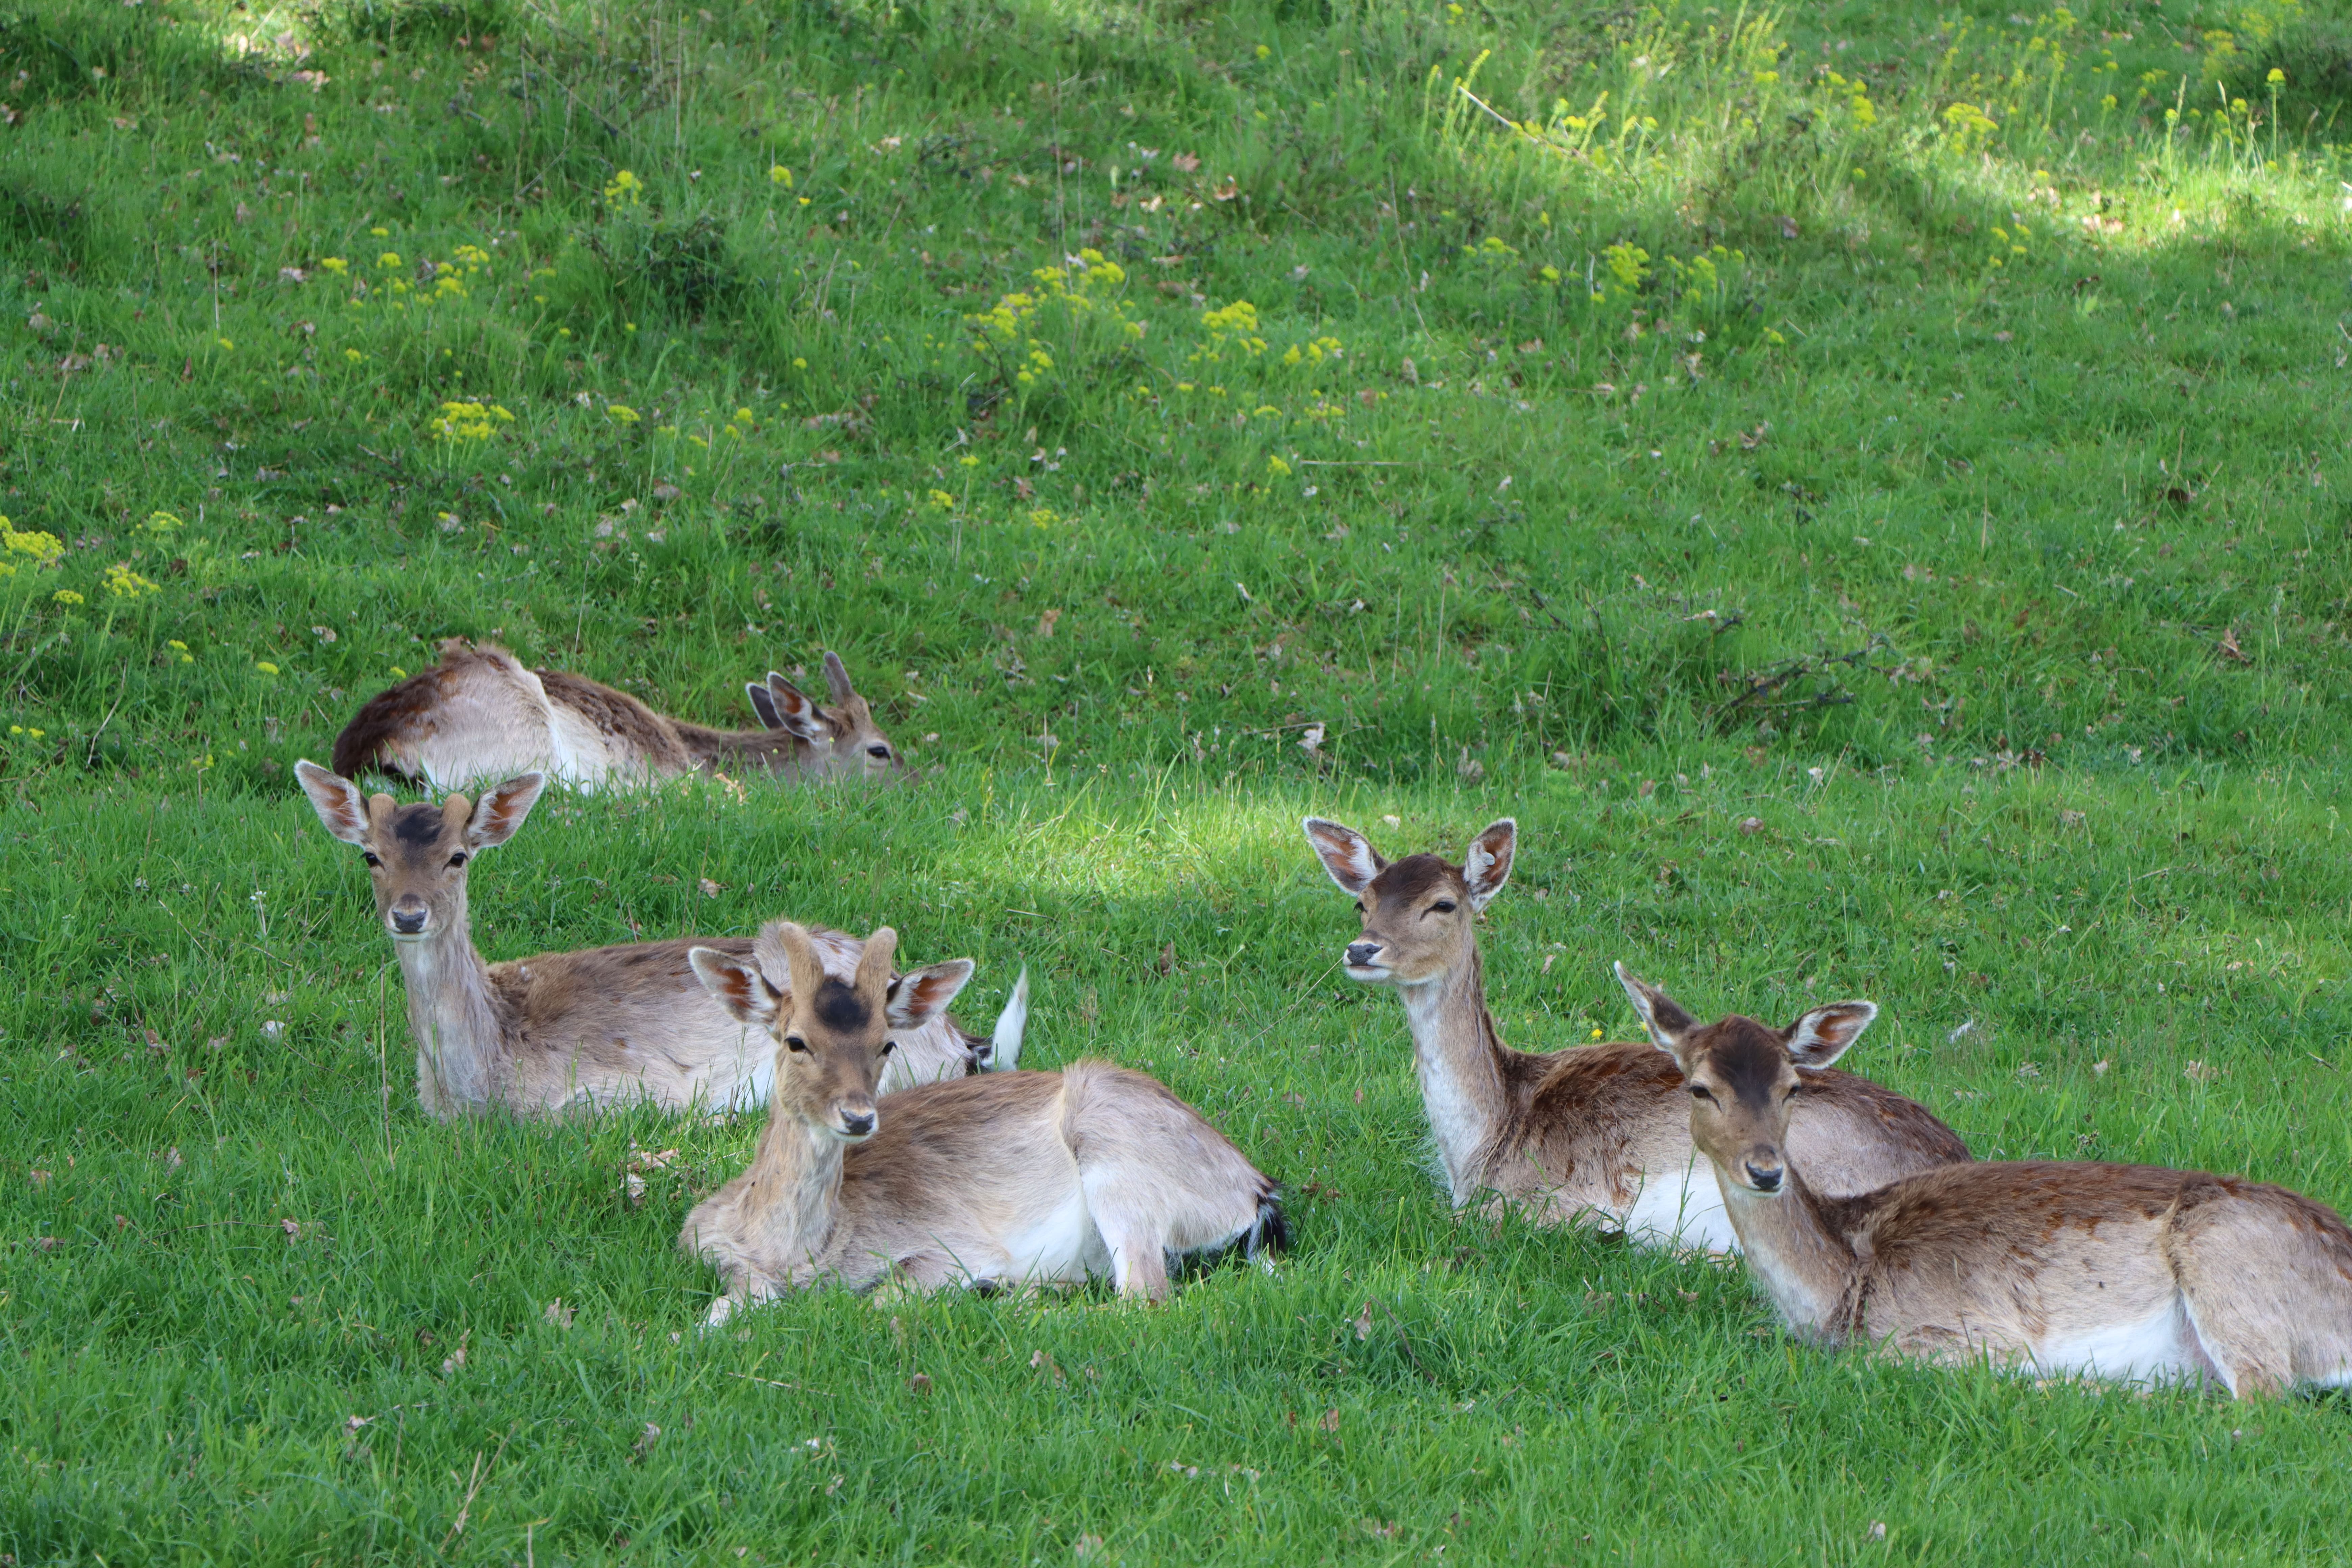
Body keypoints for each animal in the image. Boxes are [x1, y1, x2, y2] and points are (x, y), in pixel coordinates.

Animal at [682, 921, 1289, 1326]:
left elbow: (878, 1299)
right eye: (795, 1040)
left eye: (887, 1044)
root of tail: (1258, 1189)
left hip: (1119, 1163)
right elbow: (710, 1318)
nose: (858, 1117)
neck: (792, 1256)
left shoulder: (950, 1248)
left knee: (1143, 1297)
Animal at [1609, 969, 2352, 1401]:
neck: (1839, 1286)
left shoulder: (1966, 1330)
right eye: (1700, 1087)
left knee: (2263, 1398)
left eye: (1794, 1086)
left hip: (2228, 1262)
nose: (1765, 1169)